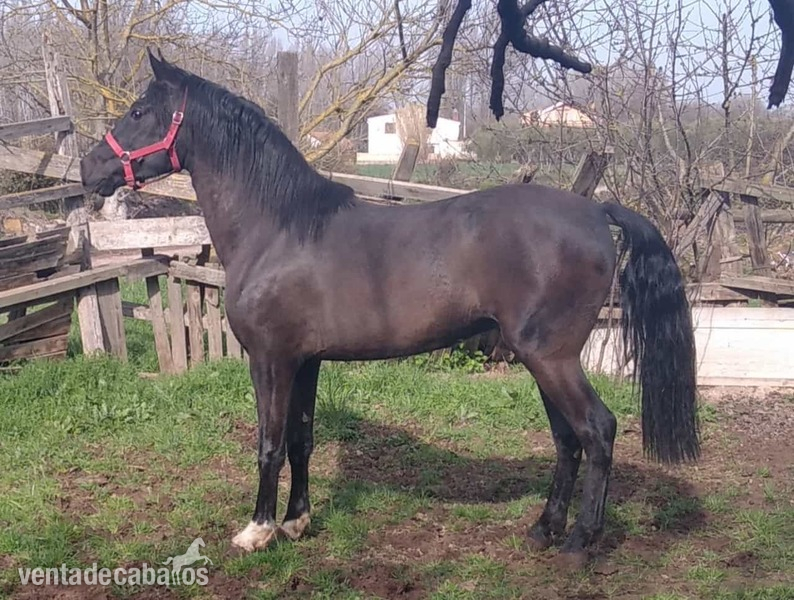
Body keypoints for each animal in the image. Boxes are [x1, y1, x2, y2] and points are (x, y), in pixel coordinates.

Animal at [79, 50, 700, 568]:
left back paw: (578, 544)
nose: (89, 169)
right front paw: (298, 523)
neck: (278, 228)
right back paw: (543, 530)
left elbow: (269, 443)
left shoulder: (271, 360)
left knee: (597, 431)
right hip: (544, 359)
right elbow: (302, 439)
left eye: (139, 111)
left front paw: (258, 530)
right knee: (568, 440)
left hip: (553, 358)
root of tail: (596, 212)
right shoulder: (306, 361)